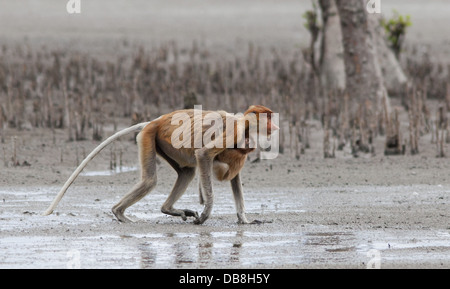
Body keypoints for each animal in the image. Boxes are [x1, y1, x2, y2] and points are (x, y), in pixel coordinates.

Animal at [44, 104, 280, 224]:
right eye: (267, 117)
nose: (275, 126)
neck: (245, 124)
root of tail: (155, 120)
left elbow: (234, 178)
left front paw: (244, 220)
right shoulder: (233, 132)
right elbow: (204, 154)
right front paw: (206, 213)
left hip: (164, 144)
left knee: (187, 172)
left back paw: (168, 209)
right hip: (149, 136)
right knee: (150, 180)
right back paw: (119, 213)